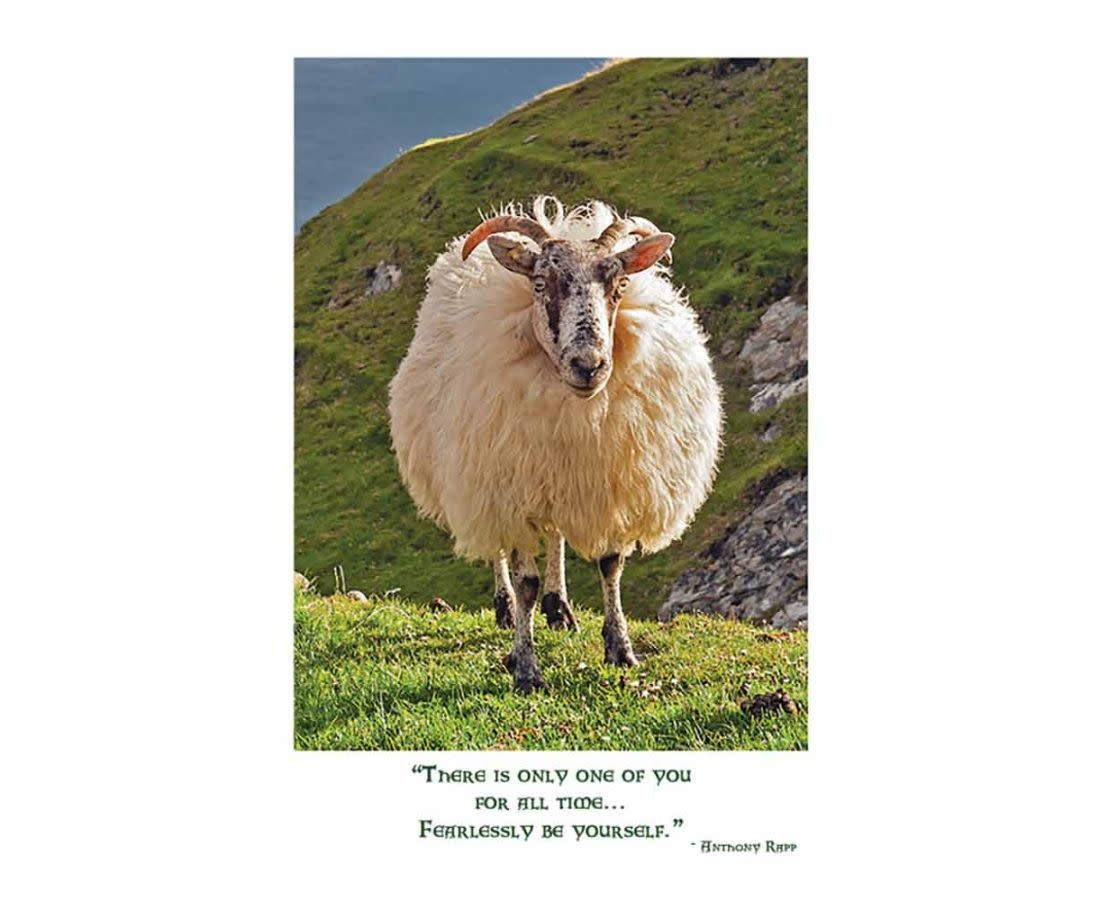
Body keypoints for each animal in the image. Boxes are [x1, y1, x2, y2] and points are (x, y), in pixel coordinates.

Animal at [388, 196, 722, 692]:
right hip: (481, 474)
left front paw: (620, 648)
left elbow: (609, 565)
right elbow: (524, 577)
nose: (589, 365)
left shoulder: (604, 478)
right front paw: (526, 667)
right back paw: (508, 608)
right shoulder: (513, 486)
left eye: (620, 284)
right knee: (499, 548)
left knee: (557, 534)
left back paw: (559, 606)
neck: (576, 413)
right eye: (541, 283)